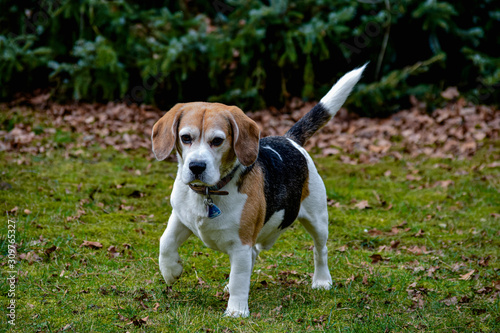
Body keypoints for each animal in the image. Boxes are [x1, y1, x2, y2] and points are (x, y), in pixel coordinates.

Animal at [150, 65, 366, 316]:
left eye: (217, 141)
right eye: (185, 138)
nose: (196, 166)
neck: (210, 193)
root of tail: (289, 139)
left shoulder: (242, 244)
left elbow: (239, 278)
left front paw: (236, 311)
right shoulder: (181, 217)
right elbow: (165, 242)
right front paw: (171, 271)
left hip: (318, 219)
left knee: (320, 250)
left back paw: (322, 280)